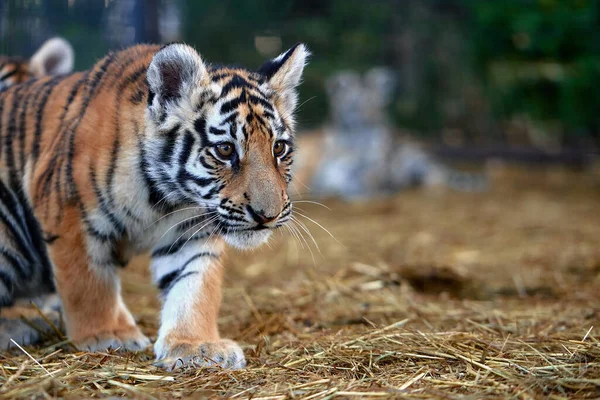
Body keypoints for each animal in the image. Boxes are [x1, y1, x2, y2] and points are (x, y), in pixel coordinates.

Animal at [0, 42, 310, 370]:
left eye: (279, 148)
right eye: (225, 150)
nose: (267, 216)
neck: (165, 196)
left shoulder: (190, 232)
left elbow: (195, 288)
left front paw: (196, 346)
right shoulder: (71, 215)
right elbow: (87, 283)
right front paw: (107, 335)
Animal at [296, 67, 488, 202]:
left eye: (371, 103)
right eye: (352, 103)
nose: (361, 118)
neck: (358, 138)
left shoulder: (372, 170)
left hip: (416, 159)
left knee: (436, 176)